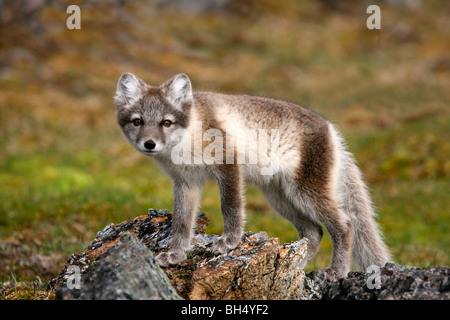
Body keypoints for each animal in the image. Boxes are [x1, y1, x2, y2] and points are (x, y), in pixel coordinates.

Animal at [114, 73, 388, 278]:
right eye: (137, 122)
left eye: (166, 122)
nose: (149, 144)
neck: (188, 137)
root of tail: (332, 130)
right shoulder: (185, 183)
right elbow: (182, 223)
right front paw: (176, 256)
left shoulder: (228, 165)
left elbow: (230, 206)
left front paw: (229, 242)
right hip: (280, 198)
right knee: (313, 233)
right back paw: (294, 270)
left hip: (305, 192)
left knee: (344, 226)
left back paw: (336, 272)